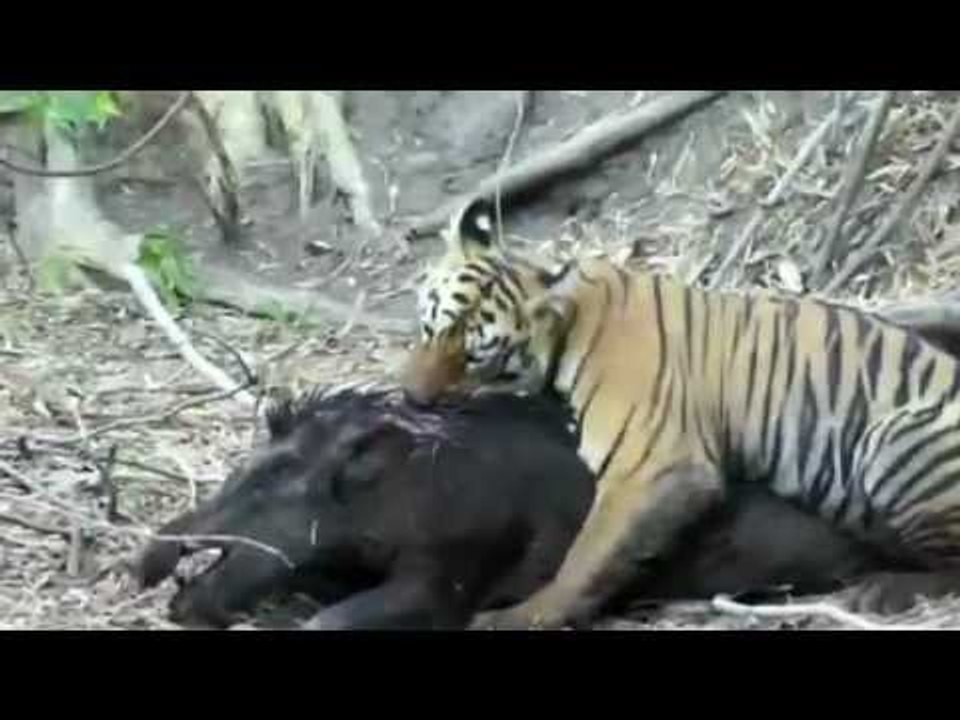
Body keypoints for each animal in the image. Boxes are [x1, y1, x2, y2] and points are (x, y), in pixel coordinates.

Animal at [400, 195, 960, 630]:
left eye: (474, 356)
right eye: (430, 327)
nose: (411, 396)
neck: (567, 329)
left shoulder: (654, 467)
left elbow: (587, 556)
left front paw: (522, 617)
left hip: (892, 441)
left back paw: (882, 590)